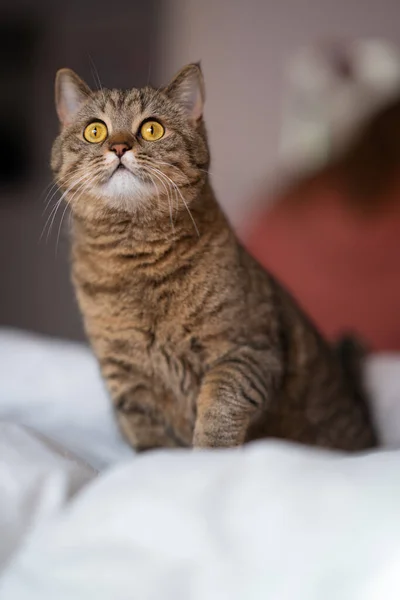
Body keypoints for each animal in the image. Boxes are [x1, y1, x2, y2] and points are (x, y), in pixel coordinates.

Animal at [50, 64, 378, 450]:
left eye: (151, 128)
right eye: (95, 130)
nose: (118, 146)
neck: (138, 260)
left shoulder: (246, 350)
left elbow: (220, 407)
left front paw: (208, 454)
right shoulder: (128, 383)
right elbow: (151, 446)